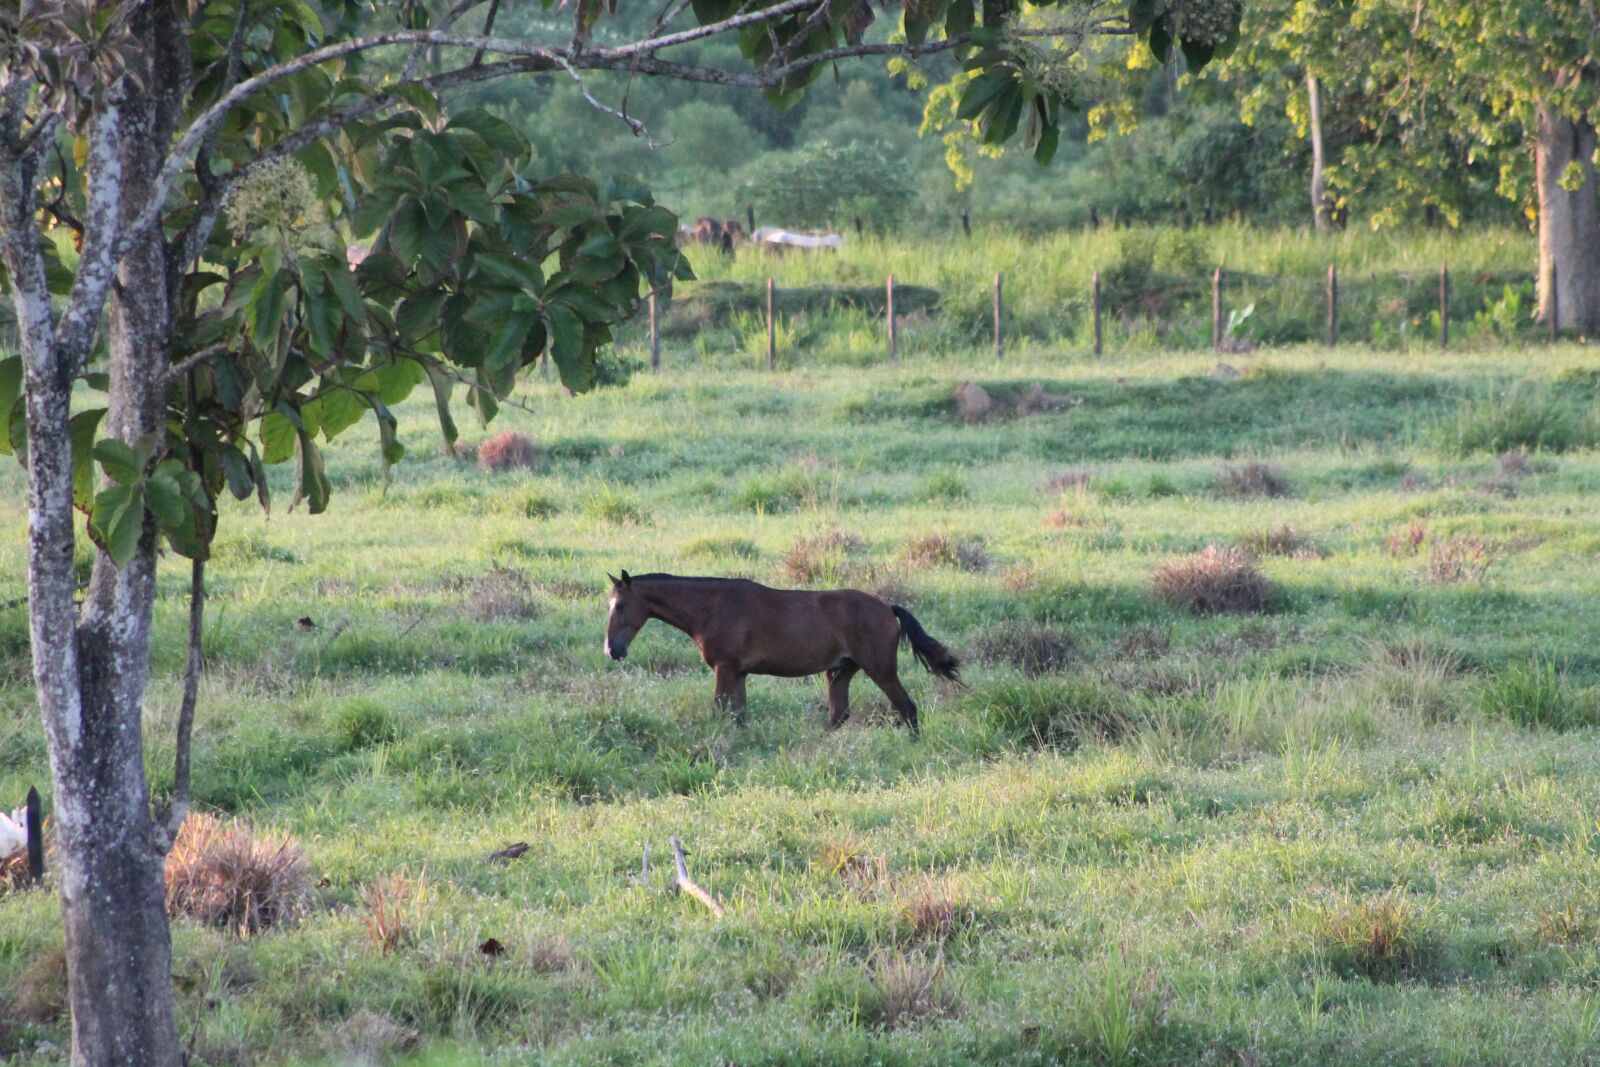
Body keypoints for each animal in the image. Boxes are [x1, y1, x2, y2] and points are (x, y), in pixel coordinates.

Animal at [604, 571, 960, 735]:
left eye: (620, 606)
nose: (612, 650)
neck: (712, 607)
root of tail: (887, 608)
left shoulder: (725, 669)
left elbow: (719, 712)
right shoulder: (739, 674)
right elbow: (739, 716)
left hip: (881, 671)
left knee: (907, 709)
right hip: (840, 672)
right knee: (838, 716)